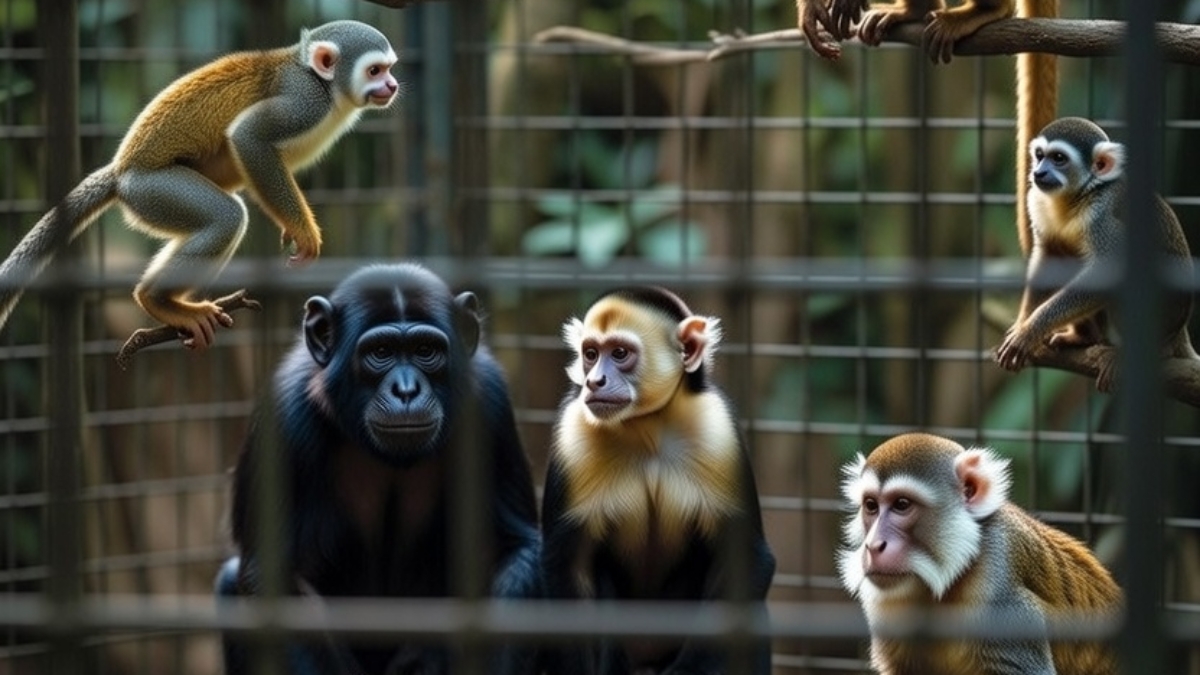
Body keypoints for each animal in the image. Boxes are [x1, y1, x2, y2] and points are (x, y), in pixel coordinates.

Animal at [0, 20, 398, 349]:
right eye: (374, 70)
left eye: (389, 69)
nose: (393, 85)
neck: (329, 90)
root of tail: (120, 170)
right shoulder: (305, 100)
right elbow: (249, 138)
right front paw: (303, 231)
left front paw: (290, 225)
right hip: (151, 190)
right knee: (227, 216)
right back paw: (157, 300)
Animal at [540, 286, 776, 675]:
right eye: (590, 354)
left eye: (619, 353)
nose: (594, 381)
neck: (645, 426)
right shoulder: (572, 430)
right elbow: (567, 564)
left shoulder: (716, 426)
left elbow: (748, 558)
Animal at [995, 117, 1197, 391]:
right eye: (1039, 156)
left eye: (1058, 158)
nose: (1038, 172)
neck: (1080, 195)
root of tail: (1179, 332)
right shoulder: (1035, 199)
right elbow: (1049, 257)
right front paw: (1023, 321)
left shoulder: (1103, 217)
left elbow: (1110, 272)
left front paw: (1030, 330)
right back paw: (1083, 337)